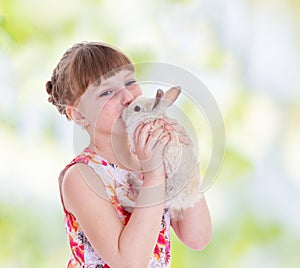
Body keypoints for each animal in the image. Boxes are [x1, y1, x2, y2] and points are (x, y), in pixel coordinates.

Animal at [120, 87, 203, 219]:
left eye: (137, 108)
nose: (123, 112)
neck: (149, 117)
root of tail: (186, 199)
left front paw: (133, 150)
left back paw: (124, 200)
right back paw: (131, 179)